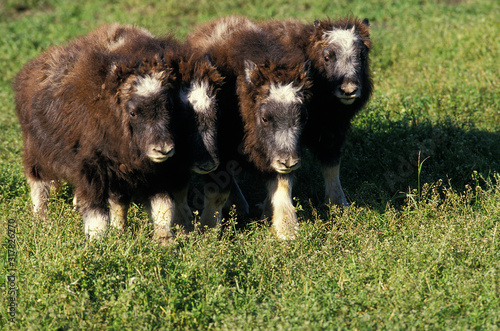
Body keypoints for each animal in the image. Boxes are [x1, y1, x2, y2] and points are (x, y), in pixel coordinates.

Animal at [13, 24, 216, 244]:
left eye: (169, 106)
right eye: (133, 112)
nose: (163, 149)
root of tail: (29, 71)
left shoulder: (151, 171)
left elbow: (160, 203)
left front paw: (163, 240)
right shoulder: (93, 167)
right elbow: (97, 211)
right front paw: (98, 242)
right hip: (37, 153)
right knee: (38, 184)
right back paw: (41, 221)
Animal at [188, 16, 312, 240]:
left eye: (303, 116)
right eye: (264, 118)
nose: (289, 162)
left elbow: (282, 186)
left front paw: (286, 231)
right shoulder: (217, 154)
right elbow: (217, 191)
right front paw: (208, 230)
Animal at [260, 16, 374, 208]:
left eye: (362, 55)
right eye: (327, 57)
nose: (349, 90)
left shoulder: (333, 133)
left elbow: (332, 166)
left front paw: (339, 204)